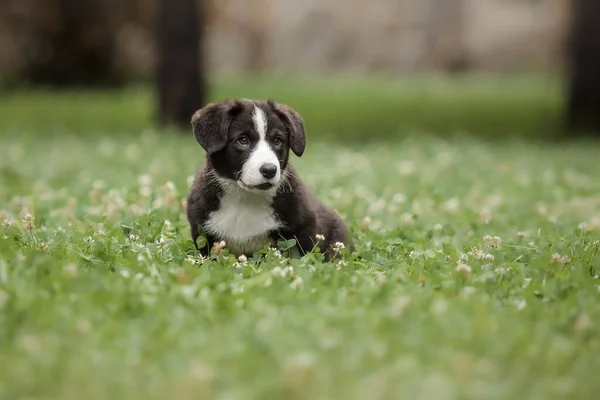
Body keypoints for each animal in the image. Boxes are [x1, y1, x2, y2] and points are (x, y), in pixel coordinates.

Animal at [185, 99, 354, 260]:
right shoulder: (202, 230)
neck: (245, 198)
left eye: (277, 140)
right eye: (243, 140)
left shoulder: (303, 229)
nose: (269, 170)